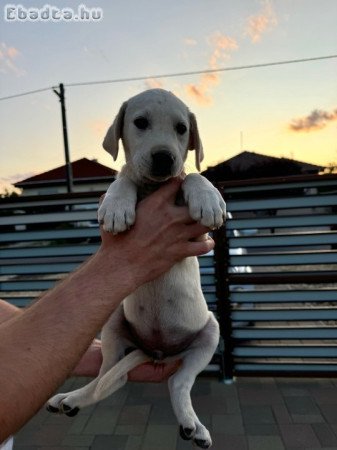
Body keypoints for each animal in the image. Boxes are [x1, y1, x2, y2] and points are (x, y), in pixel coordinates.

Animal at [47, 89, 226, 448]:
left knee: (178, 382)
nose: (164, 158)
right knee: (109, 378)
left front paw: (208, 198)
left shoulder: (197, 236)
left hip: (209, 333)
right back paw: (71, 399)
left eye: (182, 128)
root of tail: (157, 352)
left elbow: (193, 174)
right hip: (113, 324)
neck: (153, 187)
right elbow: (122, 177)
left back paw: (193, 426)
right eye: (140, 122)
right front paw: (117, 207)